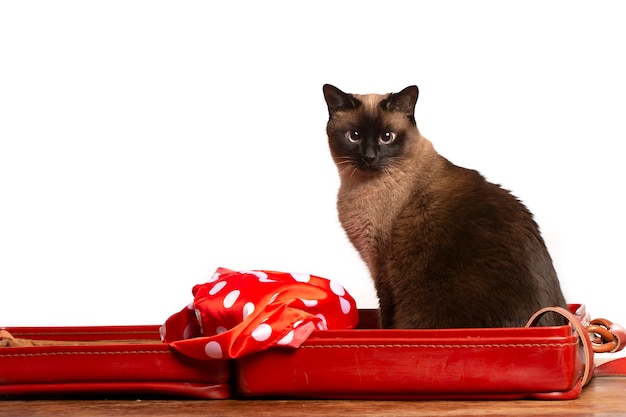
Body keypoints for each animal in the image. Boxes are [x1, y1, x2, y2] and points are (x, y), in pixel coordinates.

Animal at [322, 83, 564, 326]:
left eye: (386, 137)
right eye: (354, 136)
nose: (369, 157)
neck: (357, 186)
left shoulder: (382, 269)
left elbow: (386, 316)